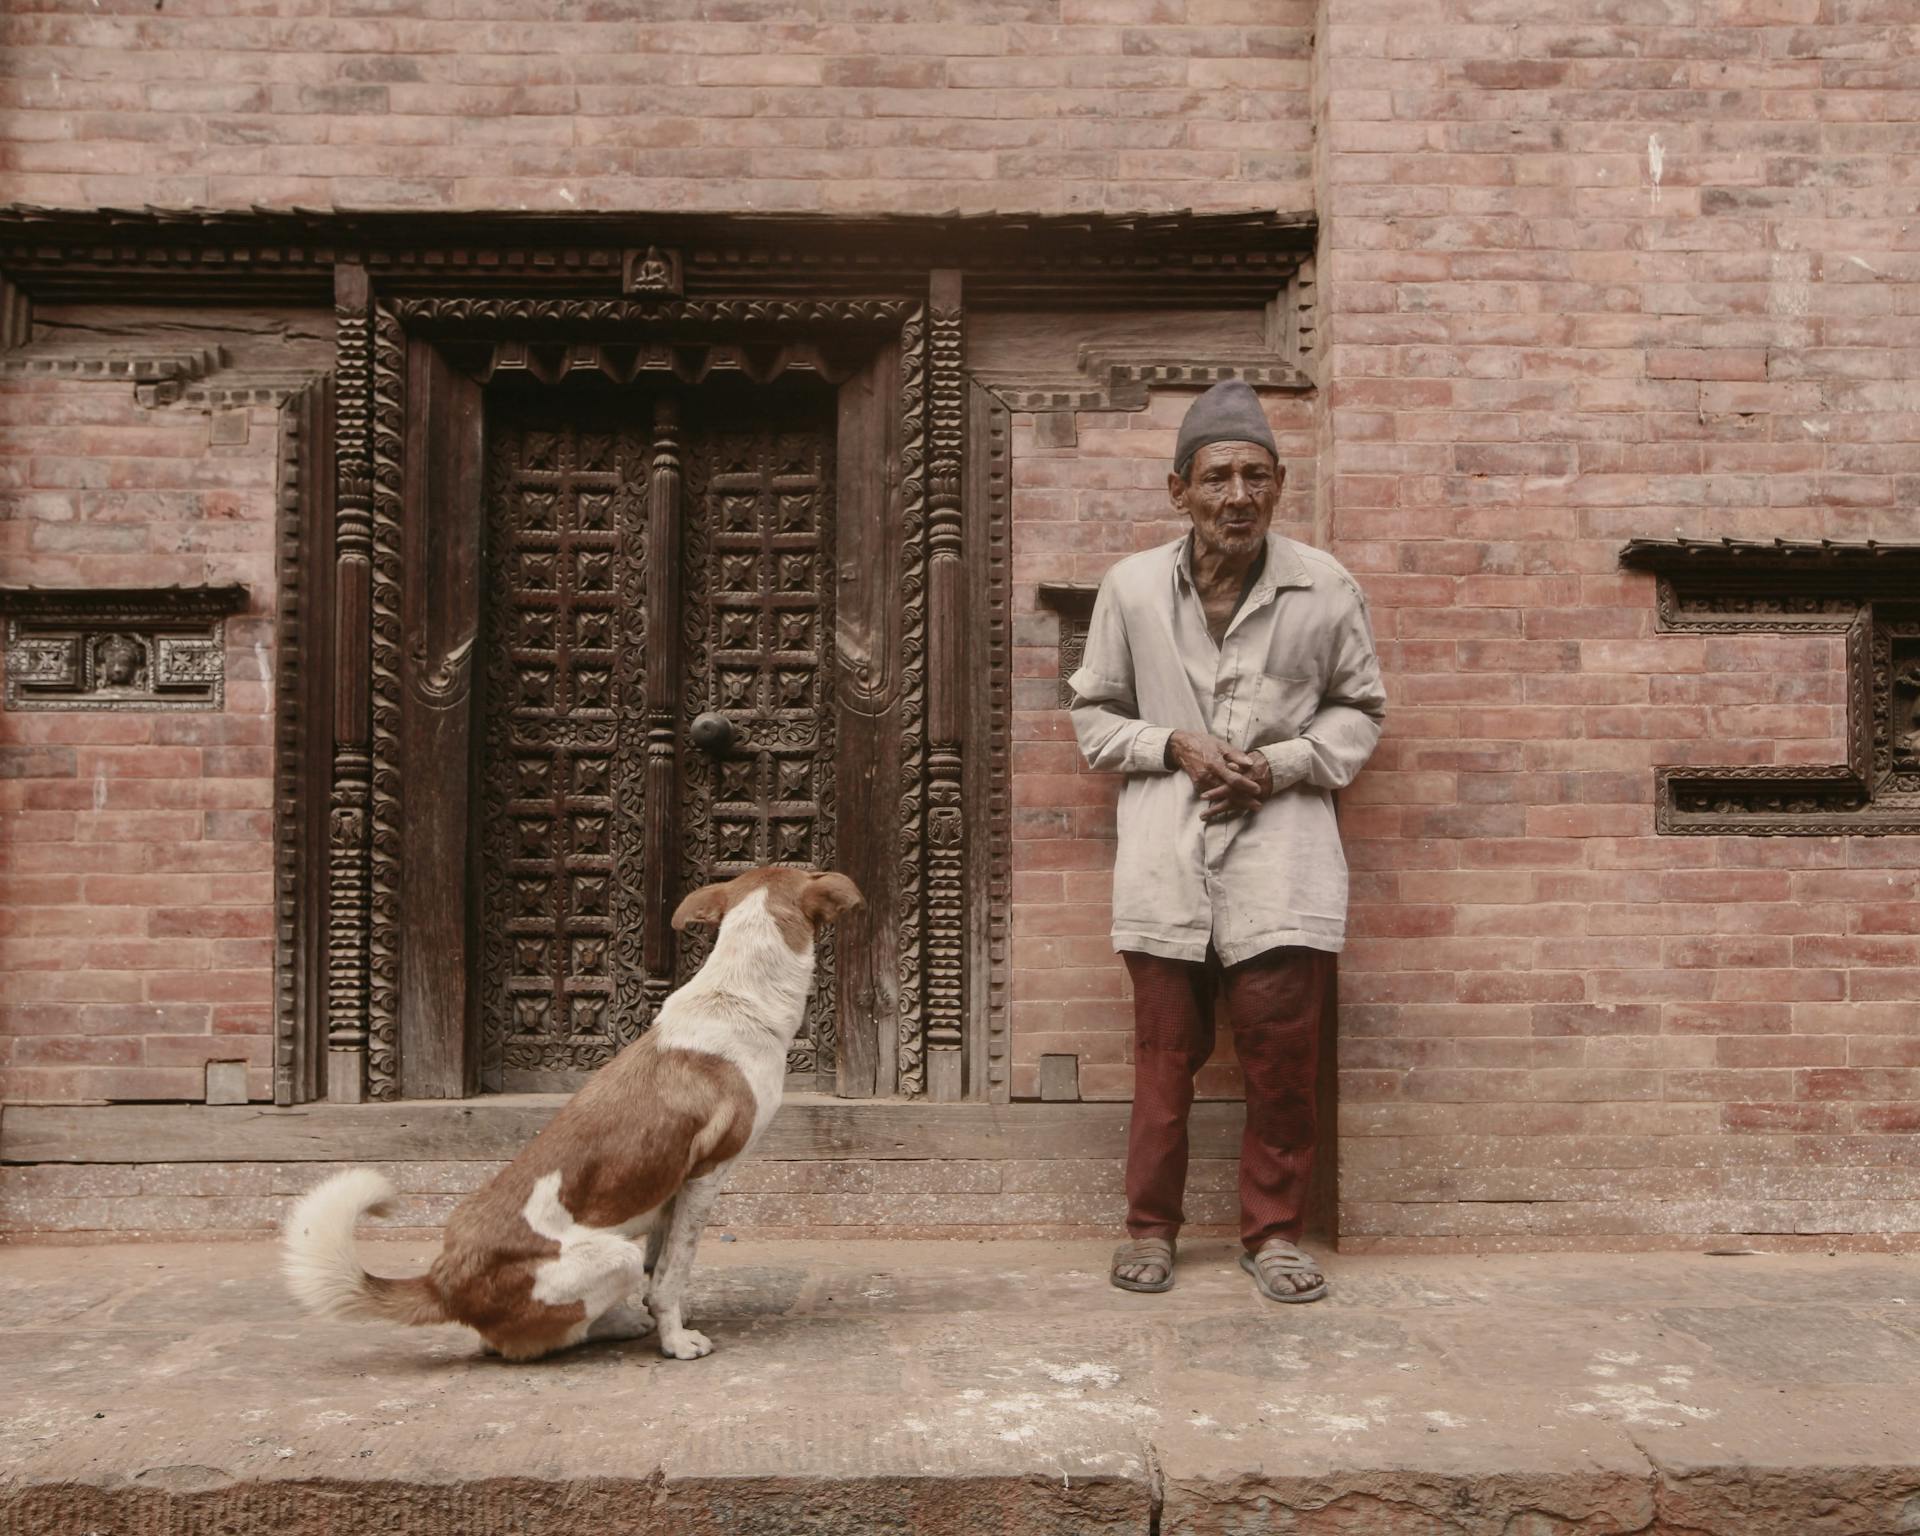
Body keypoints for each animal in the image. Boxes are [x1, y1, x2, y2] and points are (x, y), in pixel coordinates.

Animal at [280, 871, 864, 1359]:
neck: (736, 997)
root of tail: (443, 1281)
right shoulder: (706, 1174)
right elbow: (672, 1274)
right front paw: (676, 1341)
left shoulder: (671, 1185)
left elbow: (661, 1266)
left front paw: (663, 1316)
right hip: (609, 1256)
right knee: (525, 1342)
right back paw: (616, 1325)